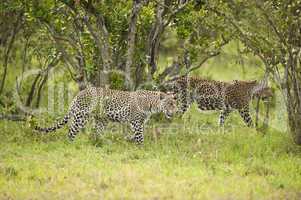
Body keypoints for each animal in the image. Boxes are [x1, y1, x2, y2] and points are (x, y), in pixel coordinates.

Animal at [34, 86, 178, 144]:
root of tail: (78, 94)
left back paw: (101, 143)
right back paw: (71, 145)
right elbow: (140, 136)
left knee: (96, 133)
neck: (152, 104)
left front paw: (128, 139)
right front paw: (141, 147)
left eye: (174, 104)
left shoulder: (139, 122)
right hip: (81, 116)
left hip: (101, 120)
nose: (175, 111)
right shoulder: (136, 121)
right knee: (71, 132)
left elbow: (136, 134)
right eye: (169, 104)